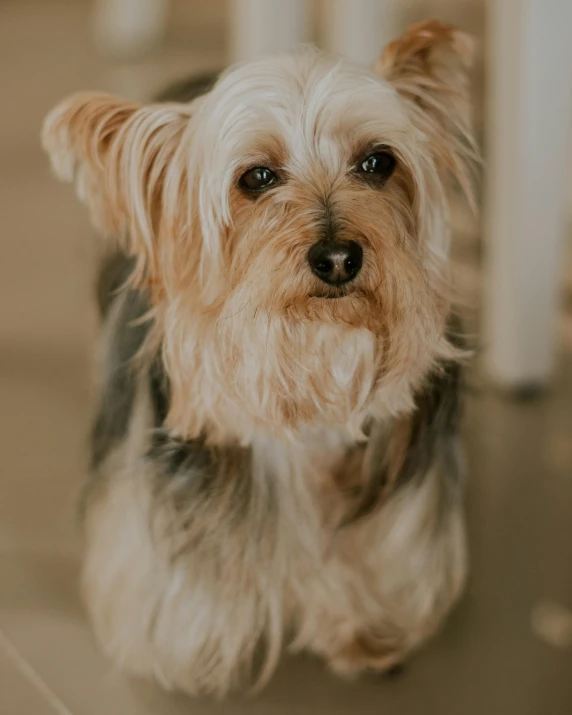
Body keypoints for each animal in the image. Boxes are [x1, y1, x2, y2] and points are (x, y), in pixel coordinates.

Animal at [42, 18, 476, 700]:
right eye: (257, 178)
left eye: (379, 162)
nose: (337, 257)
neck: (314, 347)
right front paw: (201, 654)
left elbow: (361, 553)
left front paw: (358, 634)